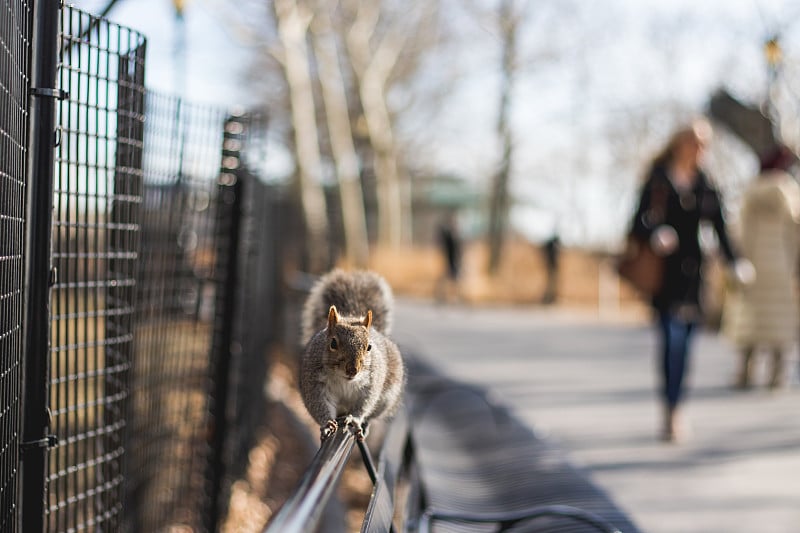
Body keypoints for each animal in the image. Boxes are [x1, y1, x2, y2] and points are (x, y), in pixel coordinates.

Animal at [298, 270, 406, 440]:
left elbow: (365, 403)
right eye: (333, 343)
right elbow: (318, 404)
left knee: (371, 414)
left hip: (387, 399)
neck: (344, 380)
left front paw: (354, 419)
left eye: (369, 347)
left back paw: (365, 425)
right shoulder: (314, 383)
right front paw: (326, 424)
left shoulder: (371, 383)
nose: (352, 370)